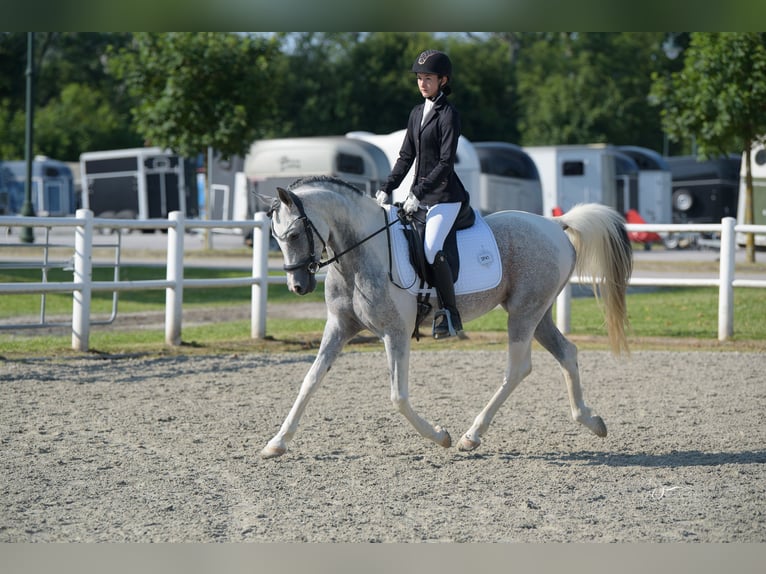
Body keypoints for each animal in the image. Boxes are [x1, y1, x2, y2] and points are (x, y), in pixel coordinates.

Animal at [261, 176, 632, 459]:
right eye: (276, 238)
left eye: (294, 234)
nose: (297, 286)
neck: (362, 253)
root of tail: (554, 223)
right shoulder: (339, 327)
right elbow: (310, 380)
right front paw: (277, 442)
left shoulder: (395, 333)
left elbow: (398, 396)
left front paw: (440, 435)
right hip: (536, 313)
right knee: (566, 352)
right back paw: (591, 420)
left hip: (524, 313)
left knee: (517, 369)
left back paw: (472, 435)